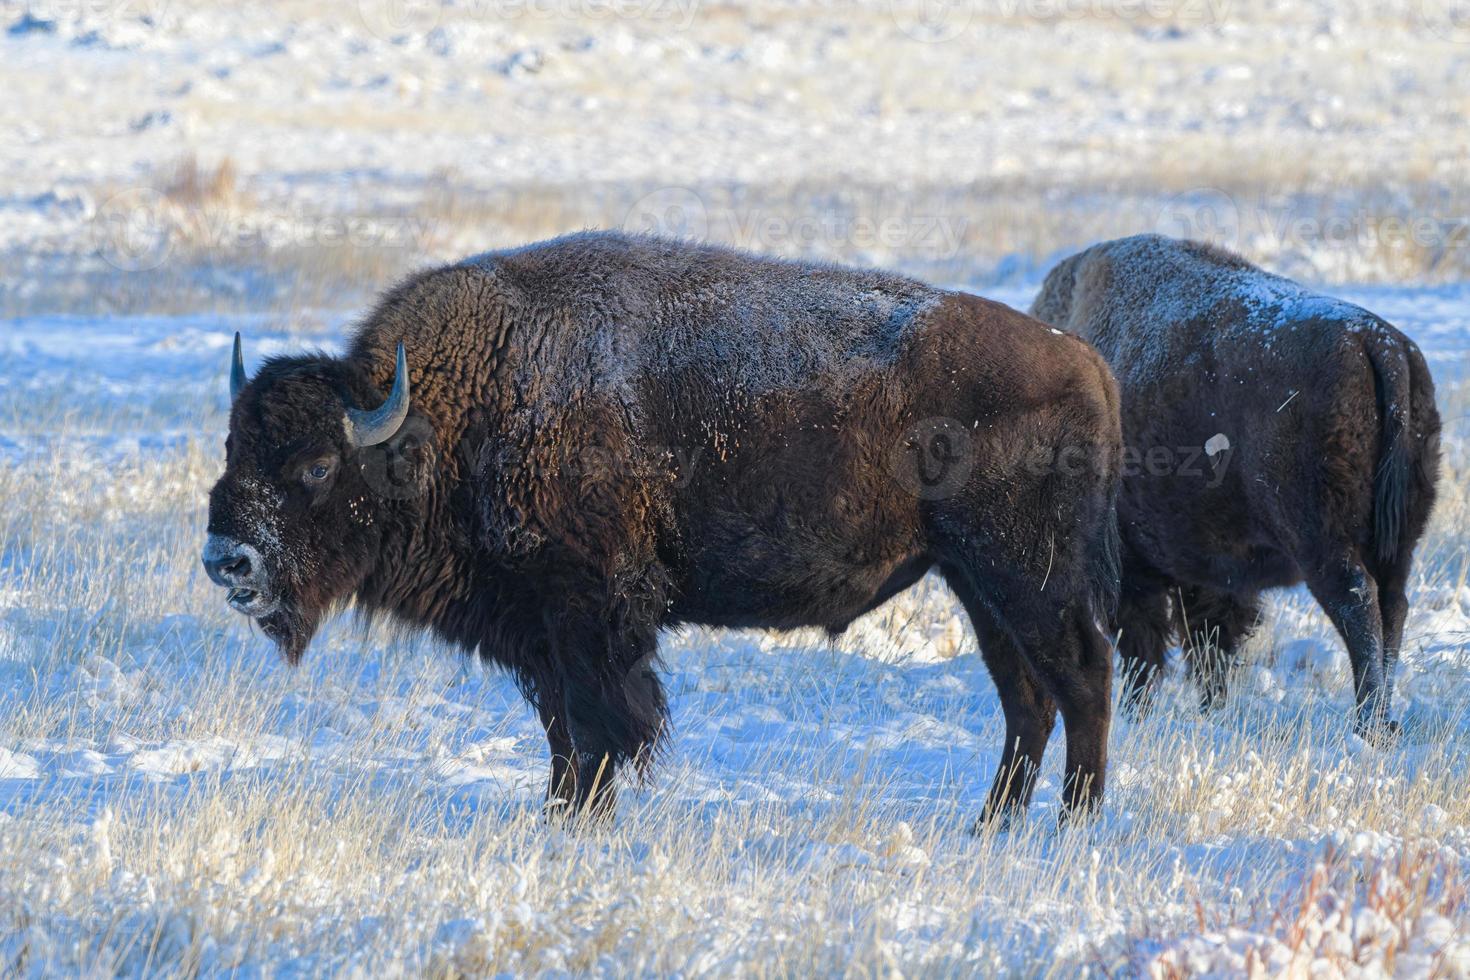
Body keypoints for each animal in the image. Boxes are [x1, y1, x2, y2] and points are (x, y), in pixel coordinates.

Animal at [201, 230, 1117, 822]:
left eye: (317, 466)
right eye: (233, 446)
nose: (227, 560)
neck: (441, 422)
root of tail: (1084, 359)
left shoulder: (591, 613)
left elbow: (600, 724)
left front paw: (581, 819)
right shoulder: (540, 633)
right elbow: (562, 731)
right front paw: (562, 816)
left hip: (1023, 574)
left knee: (1081, 676)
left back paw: (1075, 823)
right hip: (976, 582)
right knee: (1027, 697)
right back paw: (993, 826)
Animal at [1029, 232, 1440, 734]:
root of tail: (1377, 343)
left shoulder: (1138, 568)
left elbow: (1151, 643)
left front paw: (1138, 711)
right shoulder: (1213, 569)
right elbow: (1209, 641)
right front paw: (1208, 708)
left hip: (1323, 541)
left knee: (1357, 602)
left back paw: (1368, 725)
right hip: (1398, 541)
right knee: (1392, 604)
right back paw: (1382, 720)